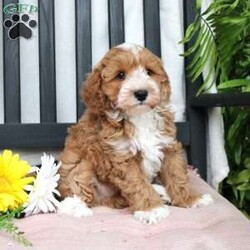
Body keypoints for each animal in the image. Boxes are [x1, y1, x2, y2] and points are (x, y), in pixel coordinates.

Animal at [57, 43, 213, 225]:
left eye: (149, 72)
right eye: (120, 75)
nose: (141, 93)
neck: (139, 116)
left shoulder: (168, 145)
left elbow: (177, 175)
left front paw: (190, 199)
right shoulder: (122, 156)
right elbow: (138, 183)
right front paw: (151, 209)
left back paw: (160, 192)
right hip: (82, 164)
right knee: (78, 191)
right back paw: (77, 208)